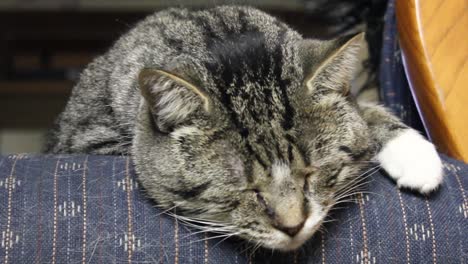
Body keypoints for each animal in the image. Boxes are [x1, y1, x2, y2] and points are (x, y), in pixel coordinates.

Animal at [45, 5, 444, 250]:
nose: (293, 226)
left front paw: (414, 153)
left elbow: (364, 109)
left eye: (312, 173)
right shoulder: (86, 139)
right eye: (245, 189)